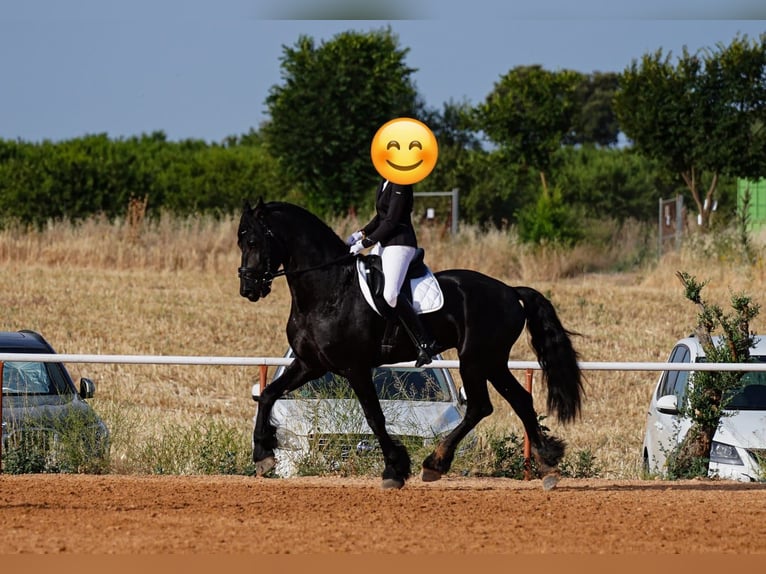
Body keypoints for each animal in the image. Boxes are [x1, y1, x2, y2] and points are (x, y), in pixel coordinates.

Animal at [238, 199, 584, 490]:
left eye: (254, 241)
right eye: (241, 242)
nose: (248, 289)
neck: (329, 289)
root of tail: (510, 291)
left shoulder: (354, 367)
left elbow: (374, 417)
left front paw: (394, 469)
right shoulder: (310, 364)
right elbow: (268, 394)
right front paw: (263, 455)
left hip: (475, 358)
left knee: (480, 406)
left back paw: (435, 464)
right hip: (492, 360)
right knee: (519, 400)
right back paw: (547, 464)